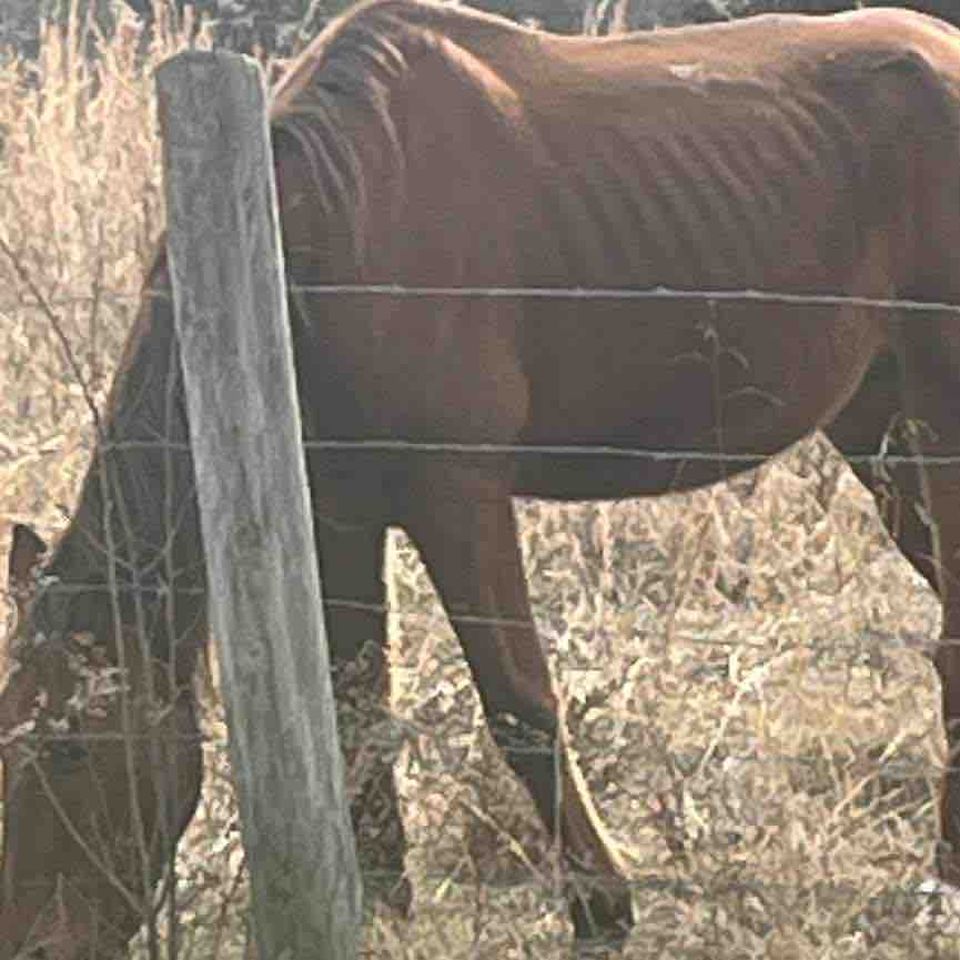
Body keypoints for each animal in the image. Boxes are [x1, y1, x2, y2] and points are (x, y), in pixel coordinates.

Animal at [6, 0, 960, 954]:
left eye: (71, 748)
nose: (32, 940)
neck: (321, 232)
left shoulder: (456, 497)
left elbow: (518, 703)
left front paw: (602, 906)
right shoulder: (339, 516)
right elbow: (358, 703)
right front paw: (385, 903)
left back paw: (943, 876)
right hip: (877, 431)